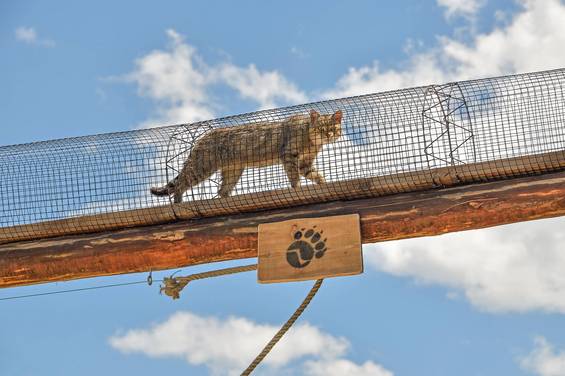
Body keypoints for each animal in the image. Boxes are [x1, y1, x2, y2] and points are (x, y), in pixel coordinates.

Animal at [150, 108, 342, 203]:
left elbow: (315, 174)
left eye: (332, 128)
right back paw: (178, 202)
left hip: (233, 171)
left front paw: (323, 184)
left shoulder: (305, 163)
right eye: (321, 128)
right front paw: (298, 189)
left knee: (222, 190)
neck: (311, 142)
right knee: (181, 183)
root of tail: (202, 137)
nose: (328, 135)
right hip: (202, 166)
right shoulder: (289, 155)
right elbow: (294, 178)